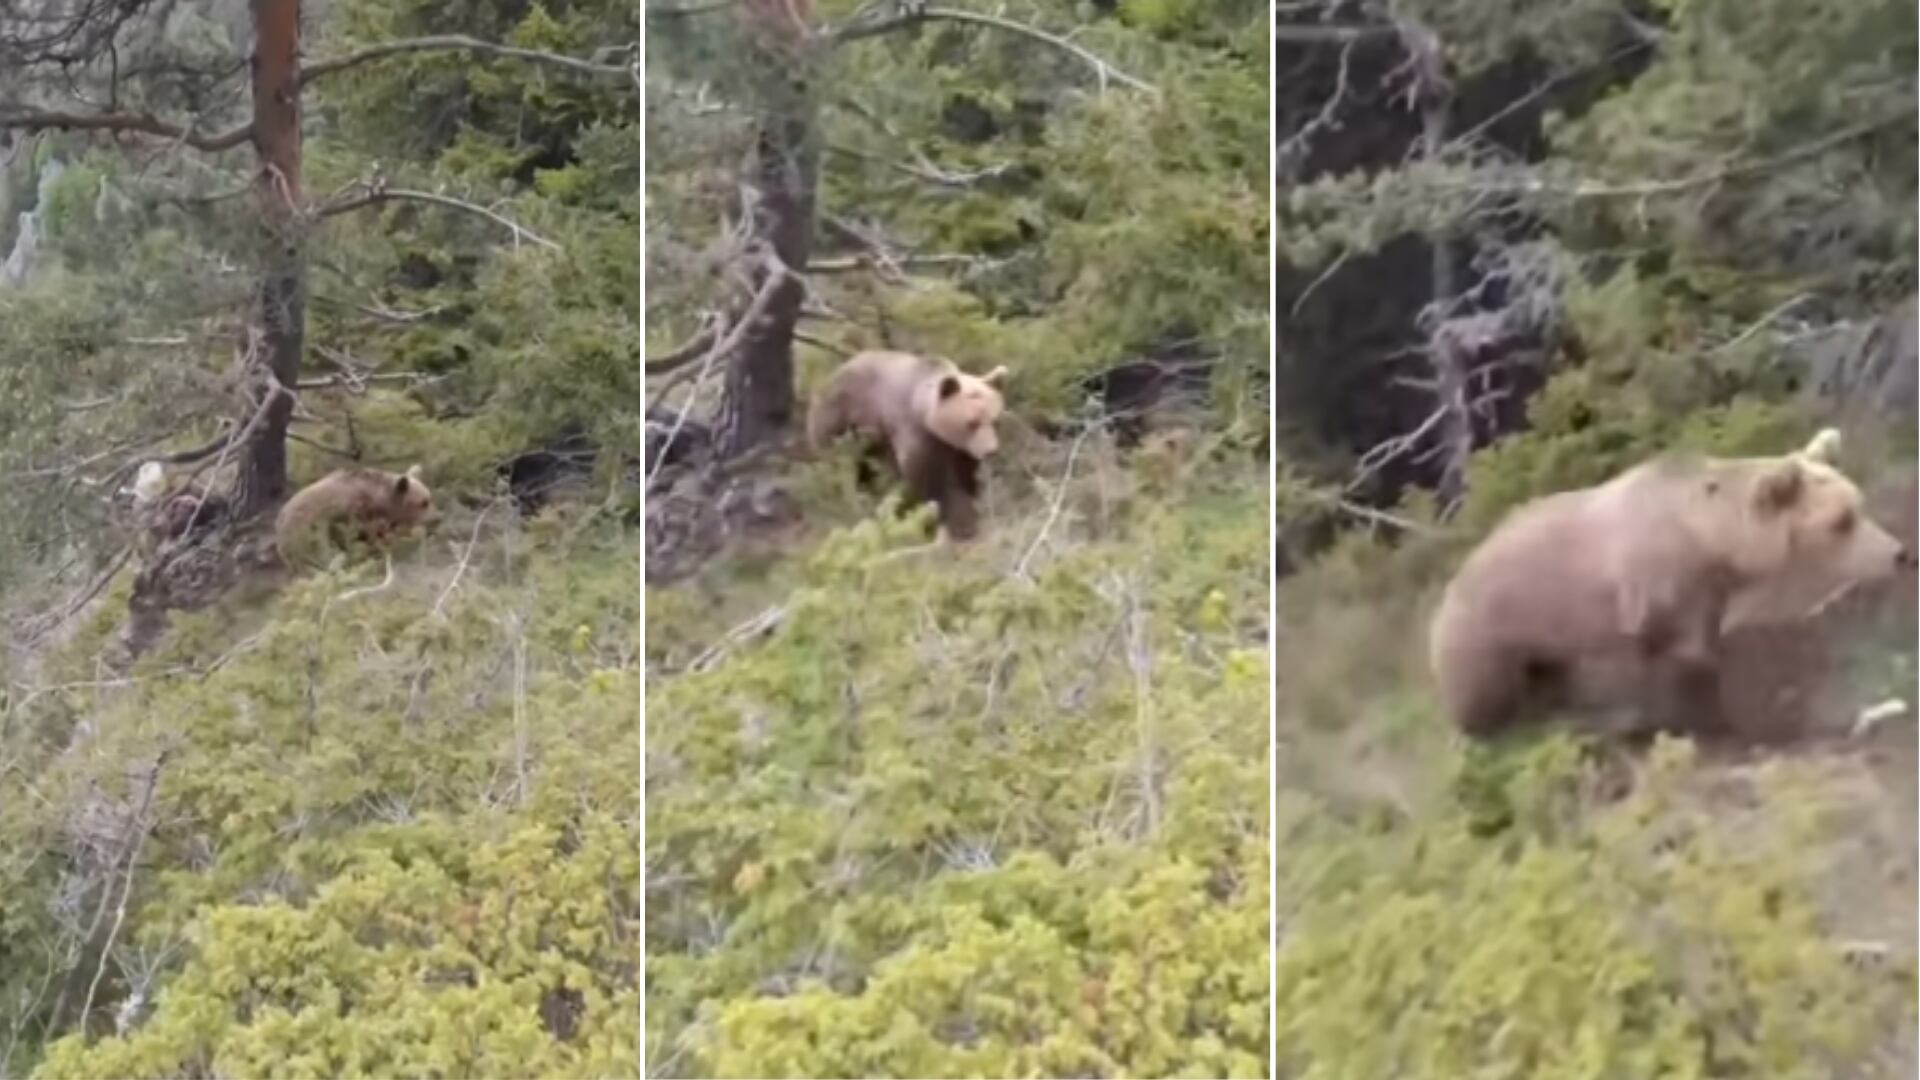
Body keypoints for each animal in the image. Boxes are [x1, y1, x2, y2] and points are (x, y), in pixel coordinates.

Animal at [275, 464, 435, 569]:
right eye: (423, 502)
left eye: (429, 498)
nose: (436, 519)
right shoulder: (354, 512)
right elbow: (369, 536)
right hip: (303, 535)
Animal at [805, 349, 1008, 541]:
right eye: (972, 423)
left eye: (995, 421)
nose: (991, 451)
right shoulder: (913, 431)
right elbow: (927, 477)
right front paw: (944, 519)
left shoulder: (958, 447)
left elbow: (964, 476)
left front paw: (968, 519)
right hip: (840, 422)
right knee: (840, 468)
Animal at [1428, 428, 1913, 739]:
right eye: (1841, 521)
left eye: (1858, 504)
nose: (1901, 553)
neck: (1708, 538)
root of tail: (1448, 587)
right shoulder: (1653, 591)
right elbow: (1678, 664)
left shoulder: (1705, 591)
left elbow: (1703, 648)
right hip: (1487, 638)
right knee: (1487, 702)